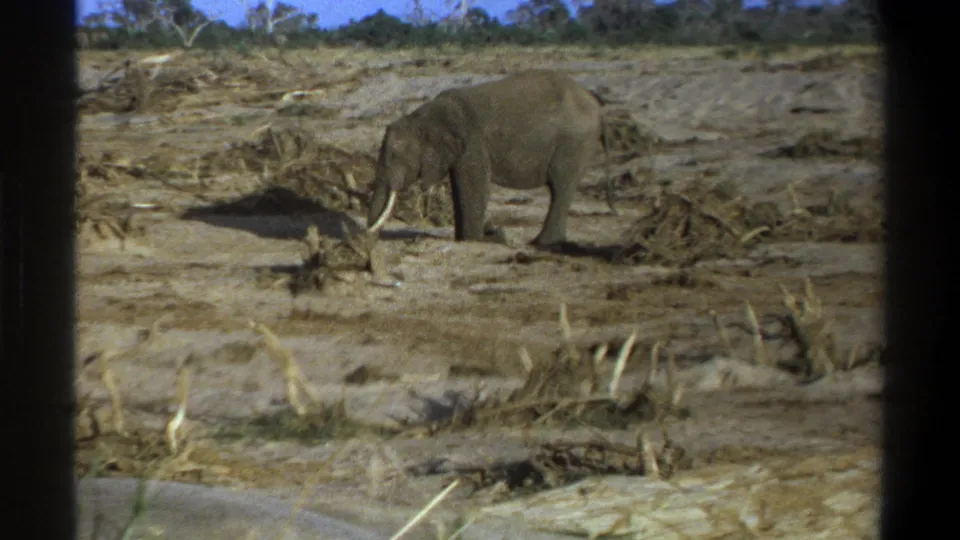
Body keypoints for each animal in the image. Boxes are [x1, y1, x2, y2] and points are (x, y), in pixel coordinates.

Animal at [365, 69, 617, 247]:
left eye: (395, 156)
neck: (423, 116)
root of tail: (598, 107)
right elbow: (460, 188)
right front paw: (465, 240)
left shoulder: (473, 143)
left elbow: (474, 186)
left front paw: (475, 240)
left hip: (574, 142)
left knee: (561, 186)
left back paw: (542, 243)